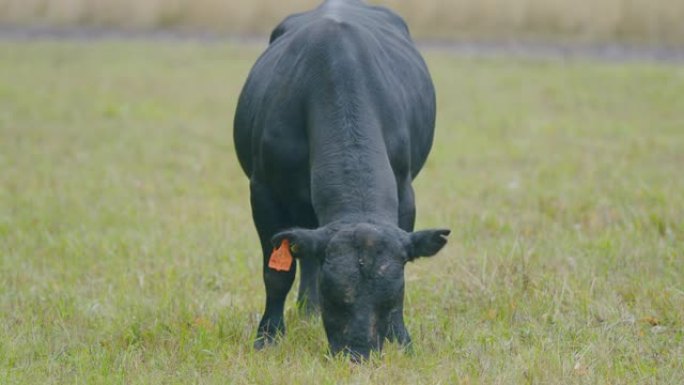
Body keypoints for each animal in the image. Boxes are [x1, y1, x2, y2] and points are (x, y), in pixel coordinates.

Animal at [232, 0, 452, 360]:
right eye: (334, 296)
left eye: (393, 296)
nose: (359, 354)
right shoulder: (263, 191)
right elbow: (277, 273)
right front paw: (268, 337)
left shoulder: (405, 191)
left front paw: (401, 340)